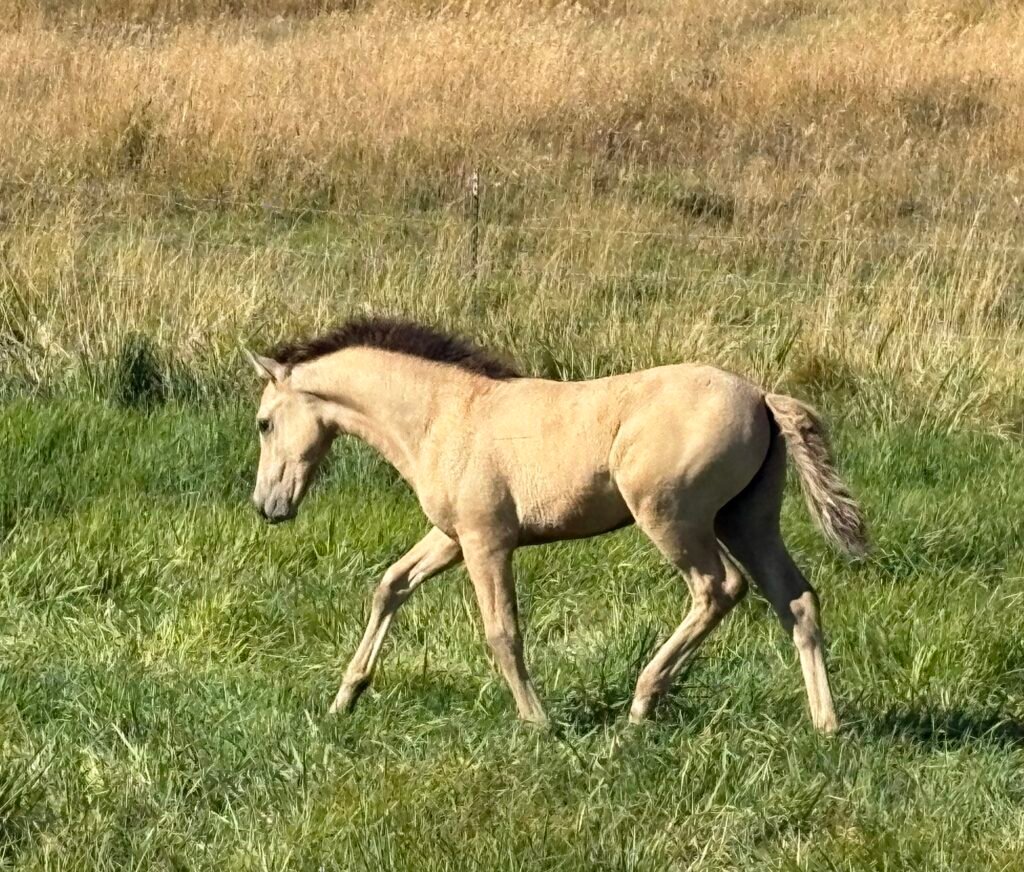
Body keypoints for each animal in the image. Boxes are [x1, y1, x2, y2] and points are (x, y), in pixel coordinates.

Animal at [246, 317, 867, 731]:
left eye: (263, 423)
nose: (266, 507)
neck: (443, 415)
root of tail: (761, 395)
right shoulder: (452, 537)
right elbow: (391, 586)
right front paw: (345, 698)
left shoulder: (486, 542)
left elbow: (502, 632)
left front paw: (537, 723)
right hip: (748, 521)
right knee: (797, 601)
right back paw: (826, 724)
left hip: (673, 518)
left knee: (720, 589)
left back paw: (642, 703)